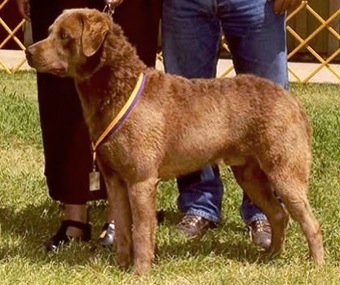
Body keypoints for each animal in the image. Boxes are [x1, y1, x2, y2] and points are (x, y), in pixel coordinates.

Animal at [25, 8, 324, 274]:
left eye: (65, 35)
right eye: (49, 31)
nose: (29, 51)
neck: (118, 88)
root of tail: (293, 101)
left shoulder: (142, 180)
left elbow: (142, 231)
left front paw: (140, 272)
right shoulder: (115, 180)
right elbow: (122, 227)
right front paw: (119, 266)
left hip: (284, 170)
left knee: (310, 222)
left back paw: (316, 265)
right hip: (249, 173)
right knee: (279, 214)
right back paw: (271, 255)